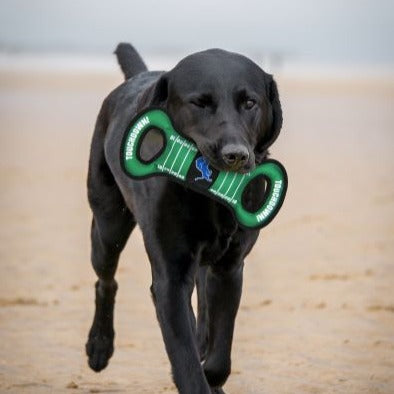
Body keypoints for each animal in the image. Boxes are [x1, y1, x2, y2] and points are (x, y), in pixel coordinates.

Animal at [86, 43, 284, 394]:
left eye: (250, 103)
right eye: (198, 103)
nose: (236, 155)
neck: (209, 197)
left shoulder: (229, 269)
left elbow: (218, 354)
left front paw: (213, 374)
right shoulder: (171, 278)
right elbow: (186, 358)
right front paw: (197, 376)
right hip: (108, 228)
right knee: (105, 280)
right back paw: (99, 345)